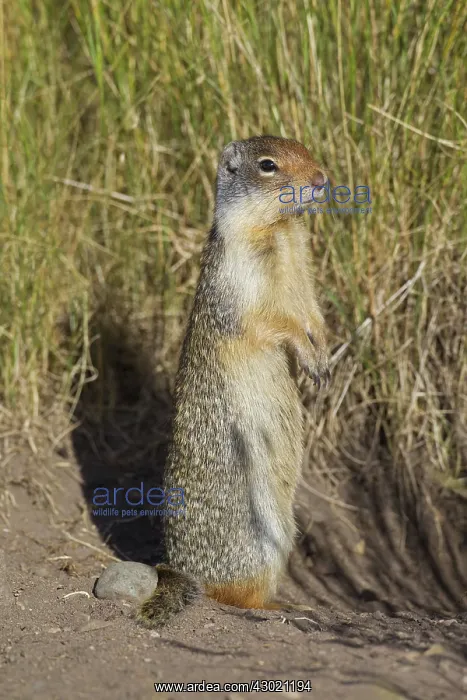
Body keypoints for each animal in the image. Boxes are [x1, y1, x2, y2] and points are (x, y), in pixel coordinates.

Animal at [138, 135, 330, 627]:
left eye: (306, 148)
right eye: (268, 165)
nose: (322, 180)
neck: (279, 229)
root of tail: (180, 568)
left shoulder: (304, 272)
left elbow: (313, 313)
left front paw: (322, 357)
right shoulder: (241, 282)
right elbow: (272, 322)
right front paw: (307, 355)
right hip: (259, 536)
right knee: (236, 596)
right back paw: (284, 606)